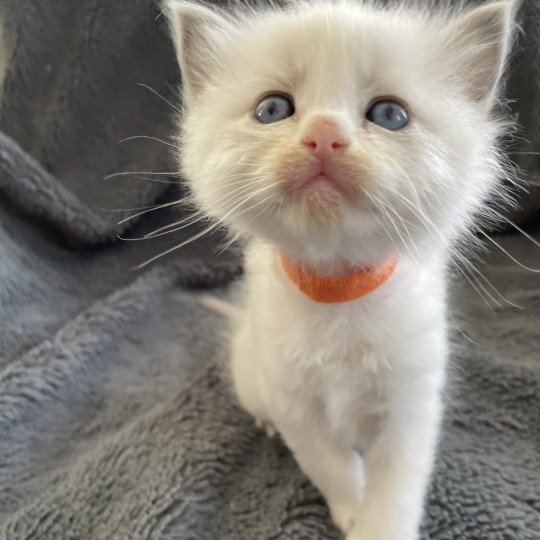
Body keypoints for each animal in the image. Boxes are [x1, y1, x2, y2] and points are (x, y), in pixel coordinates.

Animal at [163, 2, 516, 536]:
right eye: (273, 109)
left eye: (390, 115)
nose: (324, 135)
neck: (338, 290)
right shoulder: (295, 405)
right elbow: (330, 465)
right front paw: (351, 511)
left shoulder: (412, 404)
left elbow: (395, 489)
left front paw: (378, 527)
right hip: (253, 376)